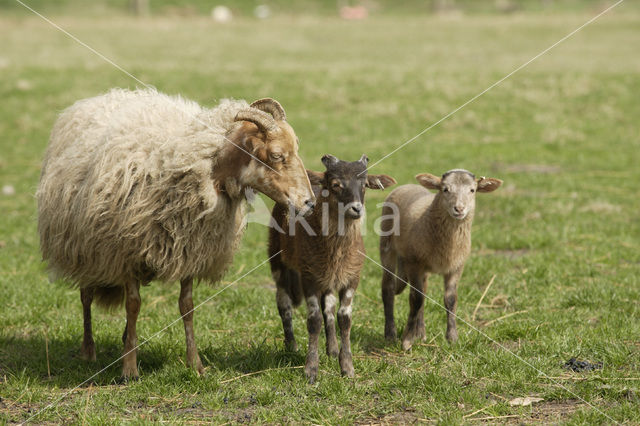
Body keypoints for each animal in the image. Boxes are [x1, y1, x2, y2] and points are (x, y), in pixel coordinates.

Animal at [37, 87, 316, 380]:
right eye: (276, 155)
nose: (310, 203)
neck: (206, 170)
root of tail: (98, 98)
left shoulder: (190, 249)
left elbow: (187, 306)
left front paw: (195, 364)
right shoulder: (126, 253)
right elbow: (133, 305)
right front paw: (129, 369)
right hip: (84, 246)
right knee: (86, 296)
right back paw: (88, 349)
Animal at [380, 169, 500, 350]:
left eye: (472, 190)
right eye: (445, 189)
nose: (459, 208)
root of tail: (405, 185)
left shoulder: (456, 266)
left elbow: (450, 299)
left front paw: (452, 338)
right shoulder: (414, 263)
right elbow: (416, 299)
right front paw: (407, 340)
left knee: (422, 290)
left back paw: (420, 333)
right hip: (387, 246)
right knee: (389, 289)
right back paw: (390, 334)